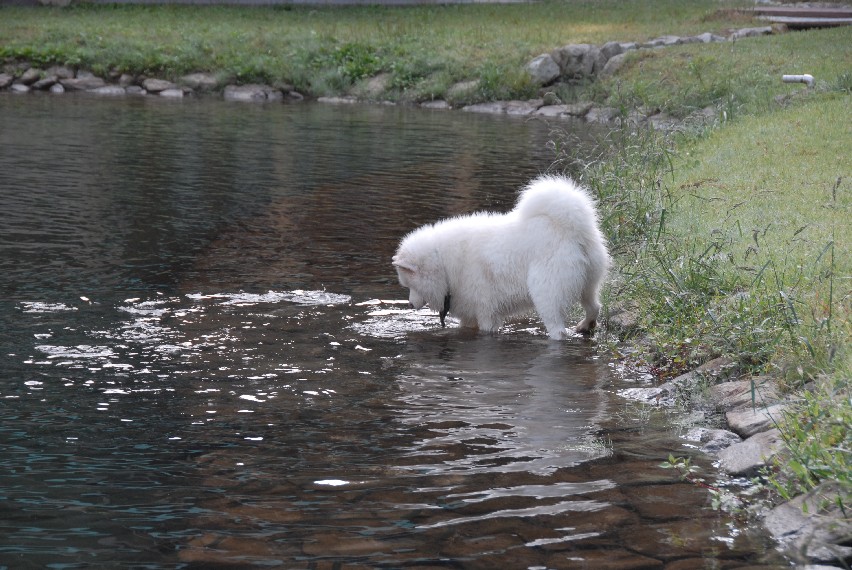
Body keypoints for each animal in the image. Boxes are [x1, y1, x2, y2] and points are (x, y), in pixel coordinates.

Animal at [396, 174, 608, 338]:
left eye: (409, 285)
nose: (409, 304)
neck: (444, 265)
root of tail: (571, 229)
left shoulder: (486, 312)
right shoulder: (470, 314)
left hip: (547, 293)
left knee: (559, 330)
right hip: (588, 284)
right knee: (595, 307)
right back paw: (585, 325)